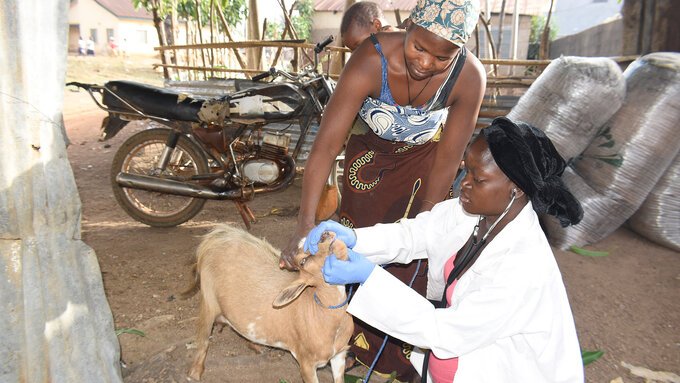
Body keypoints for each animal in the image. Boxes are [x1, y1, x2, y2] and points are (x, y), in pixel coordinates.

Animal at [181, 225, 354, 383]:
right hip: (208, 298)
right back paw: (194, 374)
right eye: (303, 261)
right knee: (203, 337)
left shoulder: (340, 355)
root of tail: (216, 236)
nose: (324, 235)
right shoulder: (306, 362)